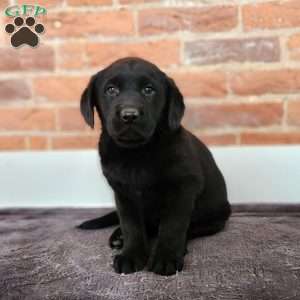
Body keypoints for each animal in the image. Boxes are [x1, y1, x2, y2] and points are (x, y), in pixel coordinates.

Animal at [78, 57, 231, 276]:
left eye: (149, 90)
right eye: (111, 90)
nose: (129, 115)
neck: (137, 153)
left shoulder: (182, 189)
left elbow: (172, 225)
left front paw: (166, 257)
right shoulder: (123, 193)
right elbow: (131, 225)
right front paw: (131, 255)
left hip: (215, 218)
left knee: (188, 228)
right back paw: (119, 237)